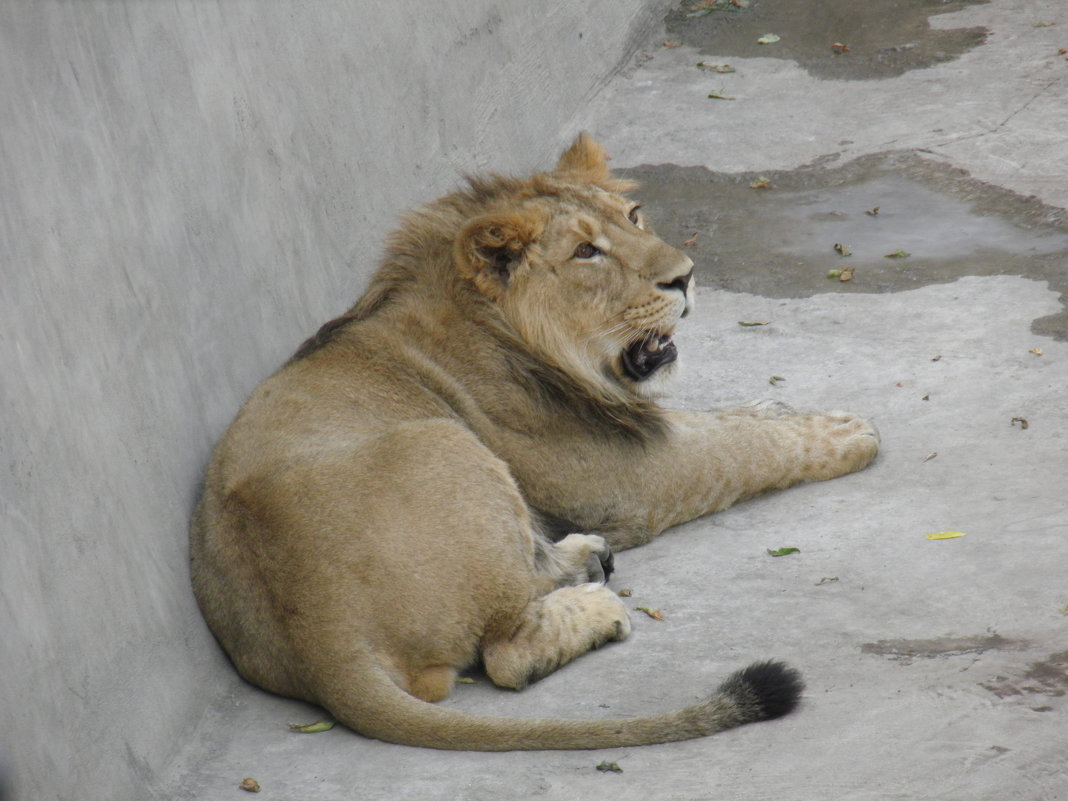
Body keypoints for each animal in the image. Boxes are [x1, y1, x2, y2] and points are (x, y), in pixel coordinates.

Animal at [190, 131, 875, 751]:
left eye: (632, 216)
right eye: (586, 252)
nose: (686, 276)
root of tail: (322, 645)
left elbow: (718, 422)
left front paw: (778, 406)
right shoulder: (628, 481)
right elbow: (736, 452)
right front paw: (845, 434)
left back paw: (582, 558)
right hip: (445, 439)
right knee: (505, 654)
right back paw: (598, 607)